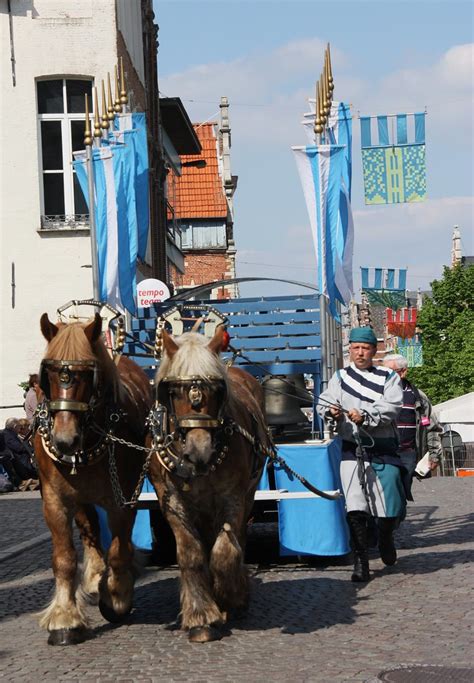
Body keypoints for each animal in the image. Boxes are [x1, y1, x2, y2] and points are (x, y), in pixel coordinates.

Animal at [34, 316, 152, 648]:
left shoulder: (122, 497)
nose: (64, 440)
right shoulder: (55, 499)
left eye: (88, 373)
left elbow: (119, 548)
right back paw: (95, 574)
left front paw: (116, 595)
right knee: (89, 530)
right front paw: (64, 618)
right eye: (48, 374)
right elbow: (64, 557)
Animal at [148, 326, 270, 640]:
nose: (198, 452)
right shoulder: (171, 499)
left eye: (217, 390)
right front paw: (201, 616)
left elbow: (225, 551)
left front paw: (229, 597)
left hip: (247, 493)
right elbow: (191, 553)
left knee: (237, 538)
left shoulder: (233, 496)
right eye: (173, 391)